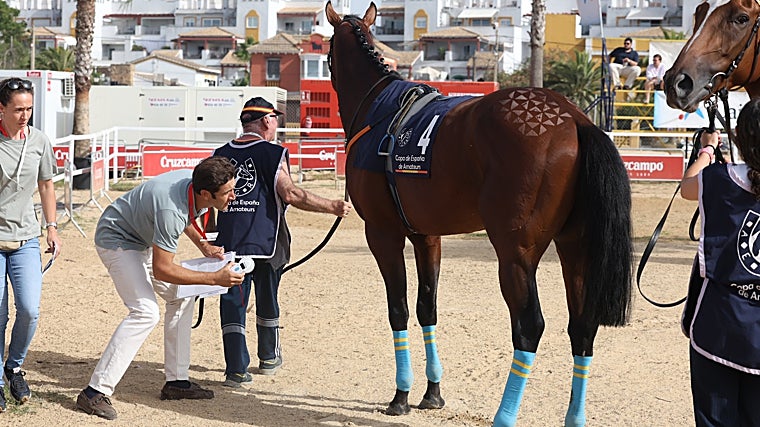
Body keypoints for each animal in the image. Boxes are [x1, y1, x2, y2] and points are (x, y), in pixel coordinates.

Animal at [325, 3, 633, 426]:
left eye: (325, 51)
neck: (378, 111)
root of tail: (575, 120)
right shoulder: (426, 236)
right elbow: (427, 308)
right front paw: (432, 392)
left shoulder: (383, 234)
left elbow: (398, 309)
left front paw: (401, 394)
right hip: (575, 249)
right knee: (583, 327)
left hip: (515, 254)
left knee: (529, 327)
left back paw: (504, 415)